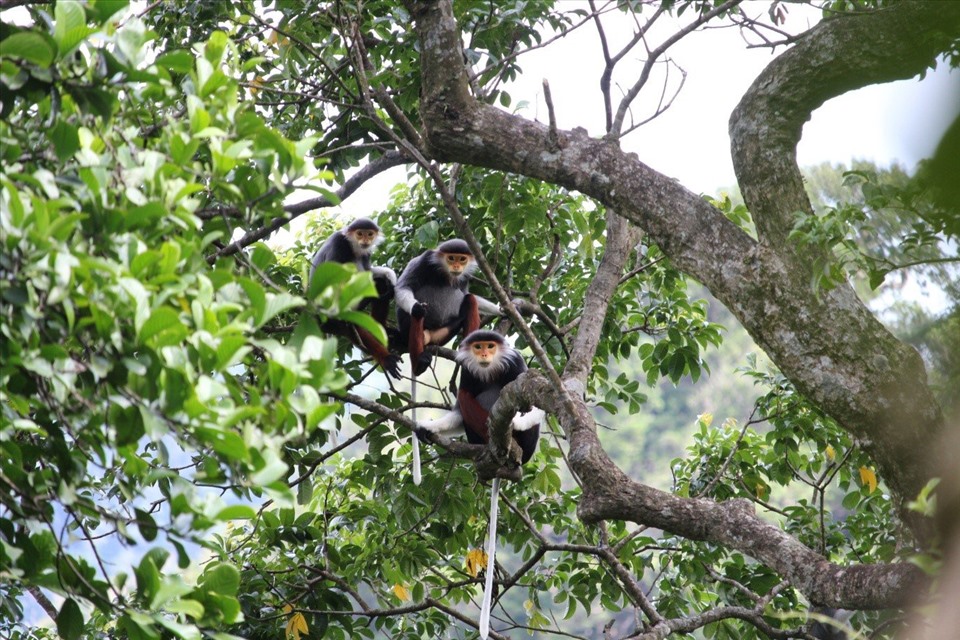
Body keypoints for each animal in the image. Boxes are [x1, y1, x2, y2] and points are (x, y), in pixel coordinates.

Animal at [310, 217, 401, 378]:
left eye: (369, 234)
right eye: (359, 234)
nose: (365, 240)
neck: (353, 246)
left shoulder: (366, 253)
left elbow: (369, 271)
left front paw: (390, 275)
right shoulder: (339, 243)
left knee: (381, 286)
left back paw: (381, 327)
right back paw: (386, 357)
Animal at [416, 330, 543, 639]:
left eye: (490, 346)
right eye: (478, 347)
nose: (484, 354)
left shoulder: (516, 365)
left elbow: (536, 406)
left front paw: (519, 422)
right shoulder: (469, 374)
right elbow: (460, 409)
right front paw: (429, 427)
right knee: (467, 399)